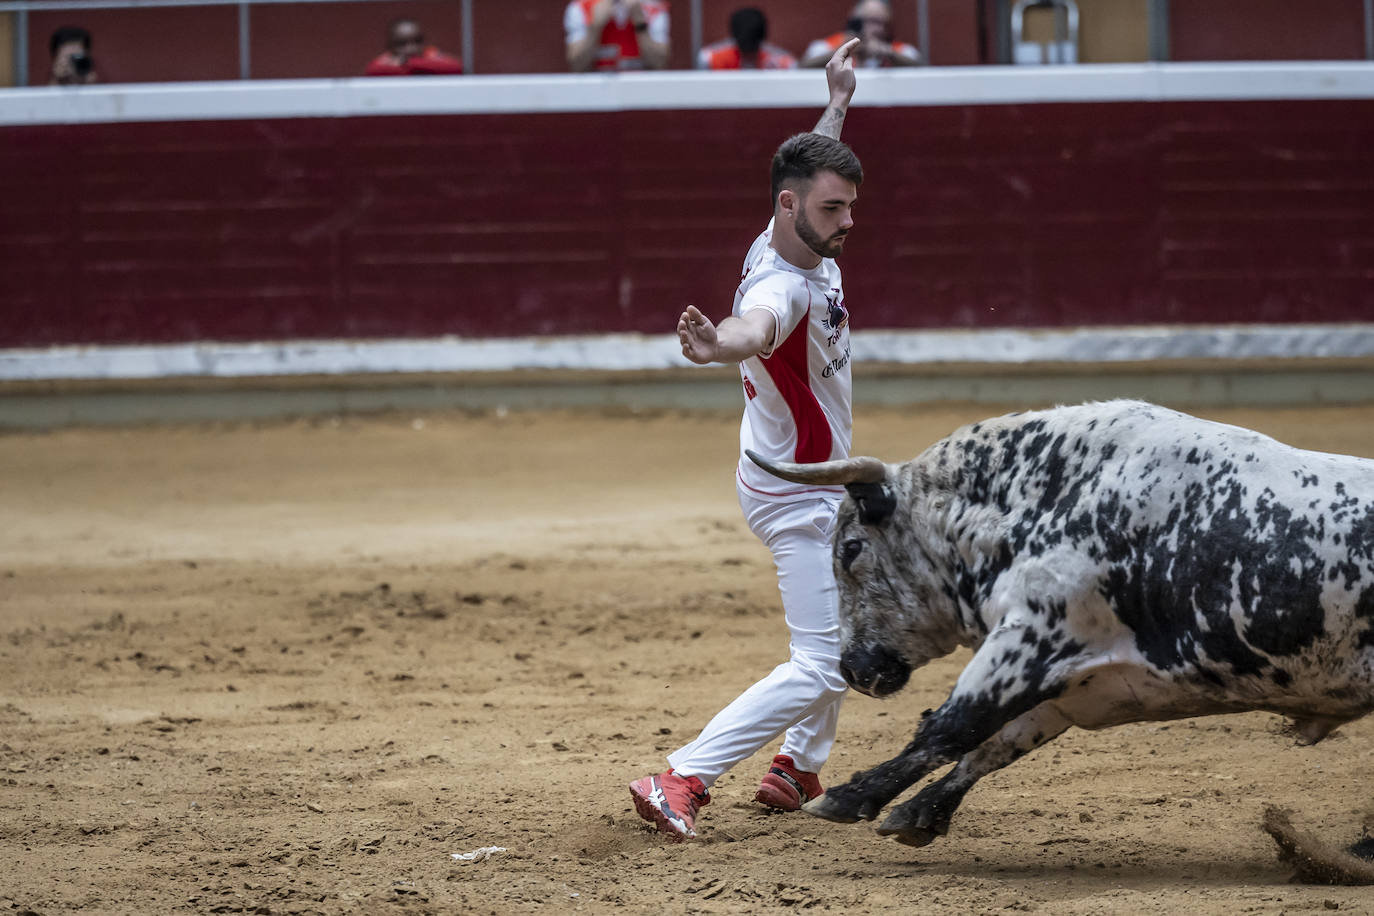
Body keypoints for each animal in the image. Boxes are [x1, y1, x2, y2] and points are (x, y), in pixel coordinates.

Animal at [747, 401, 1374, 851]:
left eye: (851, 548)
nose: (852, 668)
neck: (1039, 505)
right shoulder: (1080, 682)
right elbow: (996, 744)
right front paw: (917, 812)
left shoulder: (1030, 640)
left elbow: (950, 728)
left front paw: (849, 797)